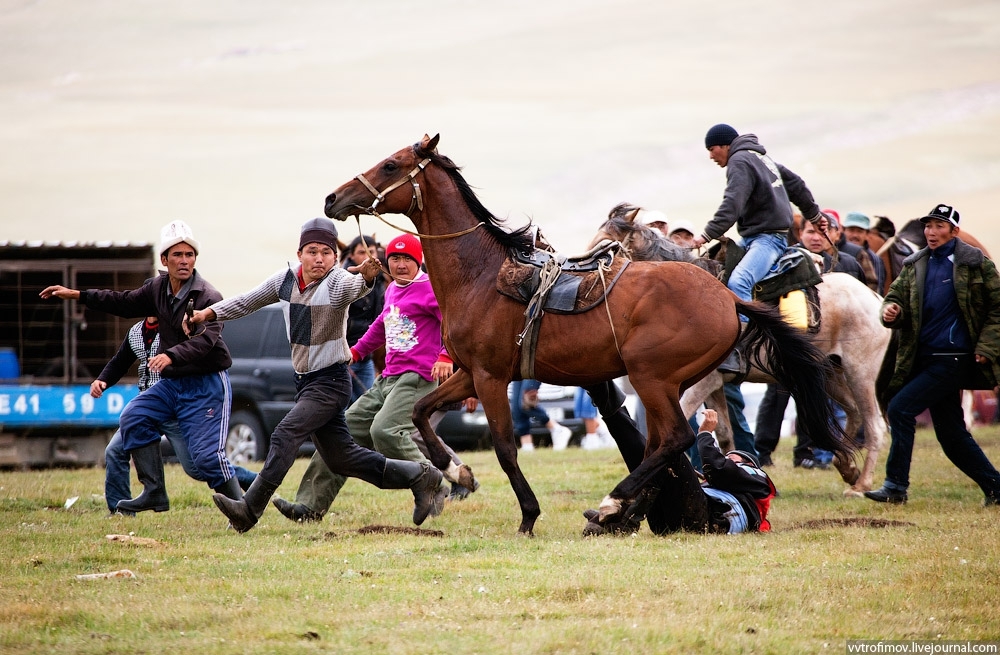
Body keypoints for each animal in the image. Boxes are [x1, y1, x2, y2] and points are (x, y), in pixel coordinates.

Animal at [322, 135, 852, 540]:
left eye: (391, 164)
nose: (333, 199)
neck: (480, 274)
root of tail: (727, 297)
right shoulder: (470, 374)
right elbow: (419, 412)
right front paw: (459, 473)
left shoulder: (491, 379)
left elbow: (505, 447)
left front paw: (528, 515)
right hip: (668, 382)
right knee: (663, 443)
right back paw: (627, 511)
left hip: (651, 376)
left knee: (676, 437)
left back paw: (614, 503)